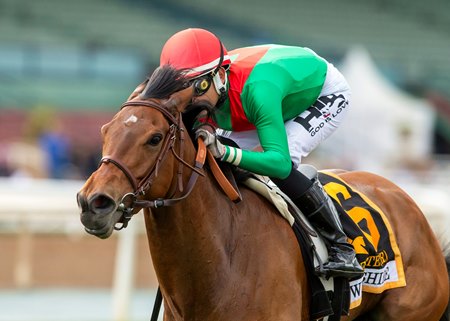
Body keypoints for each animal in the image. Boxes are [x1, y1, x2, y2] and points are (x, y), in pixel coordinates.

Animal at [75, 66, 448, 318]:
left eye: (153, 139)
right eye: (106, 131)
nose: (93, 203)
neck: (223, 260)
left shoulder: (262, 95)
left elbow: (280, 161)